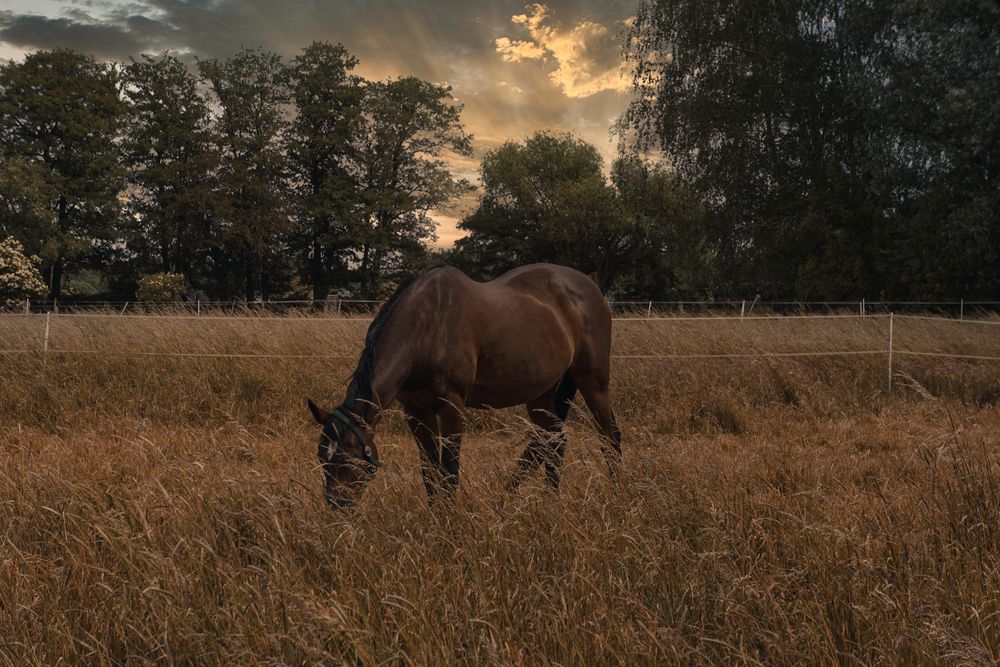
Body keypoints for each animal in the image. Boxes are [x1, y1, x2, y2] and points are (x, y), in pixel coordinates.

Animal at [304, 264, 620, 508]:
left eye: (349, 459)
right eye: (322, 458)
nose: (337, 506)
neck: (428, 325)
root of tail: (592, 289)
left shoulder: (452, 405)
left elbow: (449, 470)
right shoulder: (415, 410)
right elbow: (430, 472)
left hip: (592, 381)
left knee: (609, 435)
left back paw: (615, 493)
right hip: (541, 392)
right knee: (552, 440)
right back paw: (547, 500)